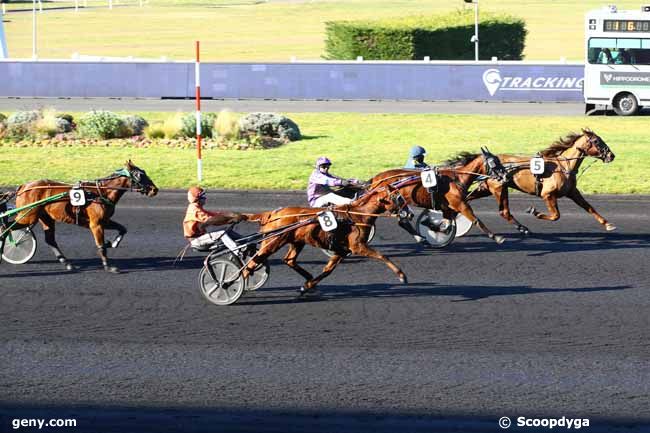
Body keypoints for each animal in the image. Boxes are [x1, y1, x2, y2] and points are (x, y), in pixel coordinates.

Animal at [8, 160, 157, 272]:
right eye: (140, 175)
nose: (154, 189)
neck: (101, 193)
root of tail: (23, 187)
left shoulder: (105, 220)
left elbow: (122, 229)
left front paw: (111, 243)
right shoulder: (96, 224)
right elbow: (100, 245)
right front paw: (108, 266)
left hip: (45, 217)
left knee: (50, 239)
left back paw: (66, 262)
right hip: (27, 216)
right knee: (7, 227)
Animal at [238, 184, 408, 296]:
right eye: (398, 197)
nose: (409, 213)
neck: (357, 216)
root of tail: (272, 214)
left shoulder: (342, 250)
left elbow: (328, 270)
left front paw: (307, 286)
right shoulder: (357, 246)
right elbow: (382, 256)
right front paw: (402, 276)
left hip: (297, 241)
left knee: (289, 260)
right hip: (273, 242)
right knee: (251, 264)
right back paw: (235, 285)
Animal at [368, 148, 508, 243]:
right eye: (494, 162)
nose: (505, 175)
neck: (457, 179)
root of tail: (376, 178)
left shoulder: (448, 207)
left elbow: (447, 224)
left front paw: (432, 226)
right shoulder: (460, 204)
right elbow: (476, 220)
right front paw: (497, 237)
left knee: (402, 221)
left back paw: (420, 237)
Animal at [466, 130, 612, 235]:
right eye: (596, 141)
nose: (611, 155)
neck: (563, 166)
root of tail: (486, 163)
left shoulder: (572, 192)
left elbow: (589, 207)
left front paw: (607, 224)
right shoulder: (547, 194)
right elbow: (556, 215)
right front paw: (535, 212)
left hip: (486, 188)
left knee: (467, 199)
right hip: (499, 188)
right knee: (504, 212)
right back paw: (523, 228)